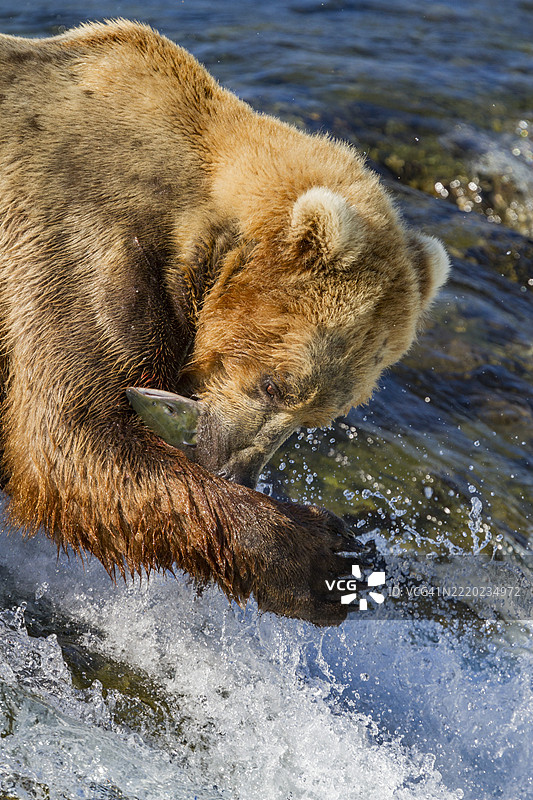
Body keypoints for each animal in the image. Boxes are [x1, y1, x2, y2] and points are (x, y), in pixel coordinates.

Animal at [0, 20, 449, 624]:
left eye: (320, 419)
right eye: (275, 384)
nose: (236, 471)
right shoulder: (76, 241)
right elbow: (73, 439)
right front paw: (324, 554)